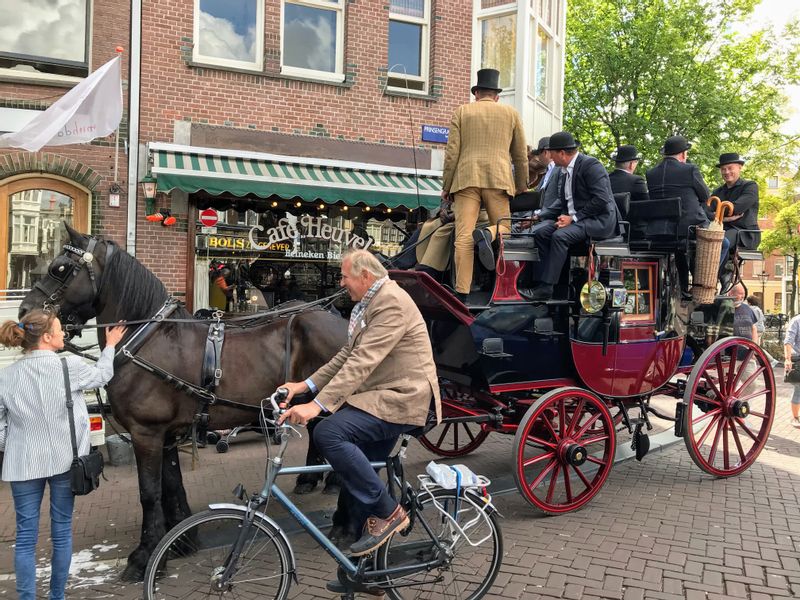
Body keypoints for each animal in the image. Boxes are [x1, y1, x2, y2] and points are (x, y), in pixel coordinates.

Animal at [19, 226, 346, 580]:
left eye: (60, 268)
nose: (24, 312)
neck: (147, 339)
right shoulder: (165, 434)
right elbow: (171, 485)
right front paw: (181, 541)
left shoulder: (145, 432)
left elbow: (149, 492)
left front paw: (143, 557)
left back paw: (344, 522)